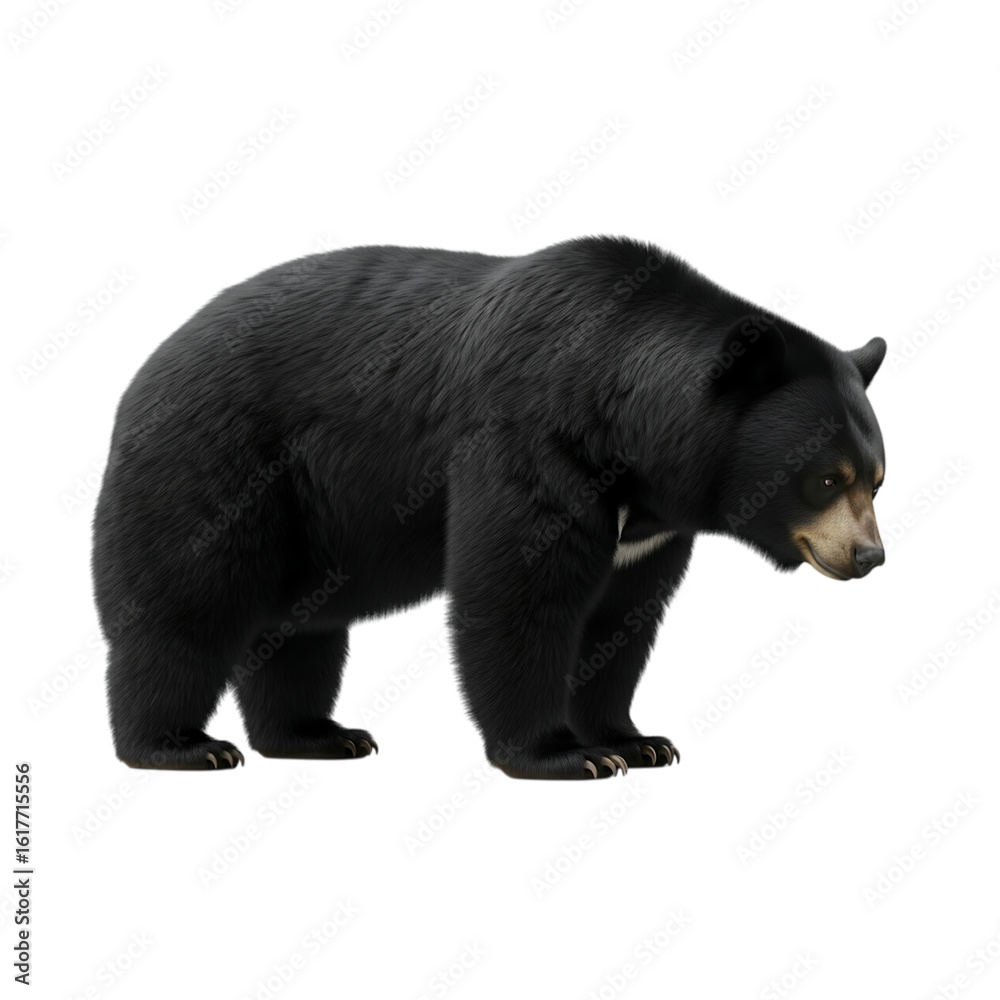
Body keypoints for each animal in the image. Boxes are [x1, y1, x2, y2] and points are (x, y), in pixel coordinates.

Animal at [92, 235, 886, 779]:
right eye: (824, 478)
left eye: (875, 478)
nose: (869, 556)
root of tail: (144, 370)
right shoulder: (530, 441)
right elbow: (518, 592)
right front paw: (563, 755)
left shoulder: (652, 529)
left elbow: (621, 617)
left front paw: (634, 739)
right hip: (218, 463)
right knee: (186, 601)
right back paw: (179, 744)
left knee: (302, 625)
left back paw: (315, 734)